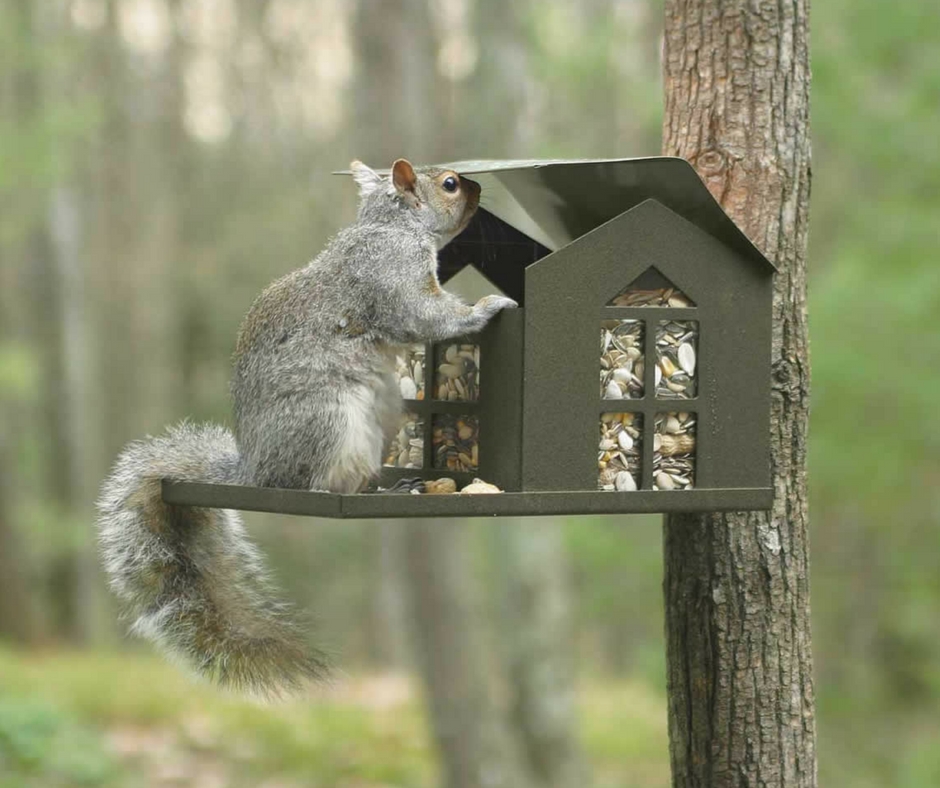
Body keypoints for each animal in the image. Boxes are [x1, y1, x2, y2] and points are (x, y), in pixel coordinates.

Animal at [99, 159, 516, 696]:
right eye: (449, 184)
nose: (480, 187)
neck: (392, 226)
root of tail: (255, 470)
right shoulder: (393, 276)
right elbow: (426, 316)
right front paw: (486, 308)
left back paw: (389, 487)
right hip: (327, 418)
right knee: (311, 482)